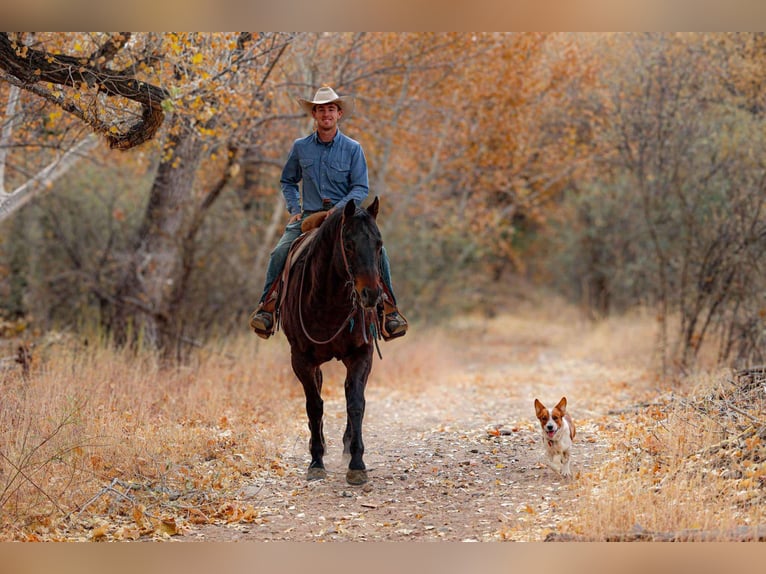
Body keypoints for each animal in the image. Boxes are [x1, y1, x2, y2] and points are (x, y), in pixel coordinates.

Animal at [279, 197, 384, 485]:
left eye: (379, 244)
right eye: (348, 244)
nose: (371, 294)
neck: (329, 302)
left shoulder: (361, 354)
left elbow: (356, 402)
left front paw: (357, 463)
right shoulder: (301, 359)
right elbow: (314, 406)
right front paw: (316, 461)